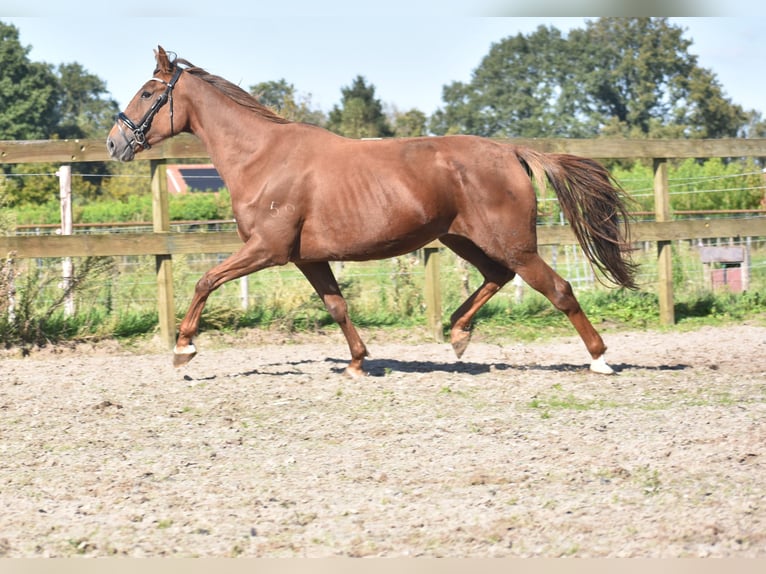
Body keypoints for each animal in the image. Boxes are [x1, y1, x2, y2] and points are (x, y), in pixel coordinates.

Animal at [106, 46, 636, 378]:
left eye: (149, 93)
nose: (115, 142)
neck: (261, 158)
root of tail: (512, 152)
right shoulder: (307, 258)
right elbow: (337, 306)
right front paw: (358, 361)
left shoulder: (266, 250)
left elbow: (204, 281)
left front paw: (184, 349)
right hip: (461, 238)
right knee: (497, 277)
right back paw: (458, 335)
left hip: (514, 243)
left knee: (558, 290)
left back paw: (600, 359)